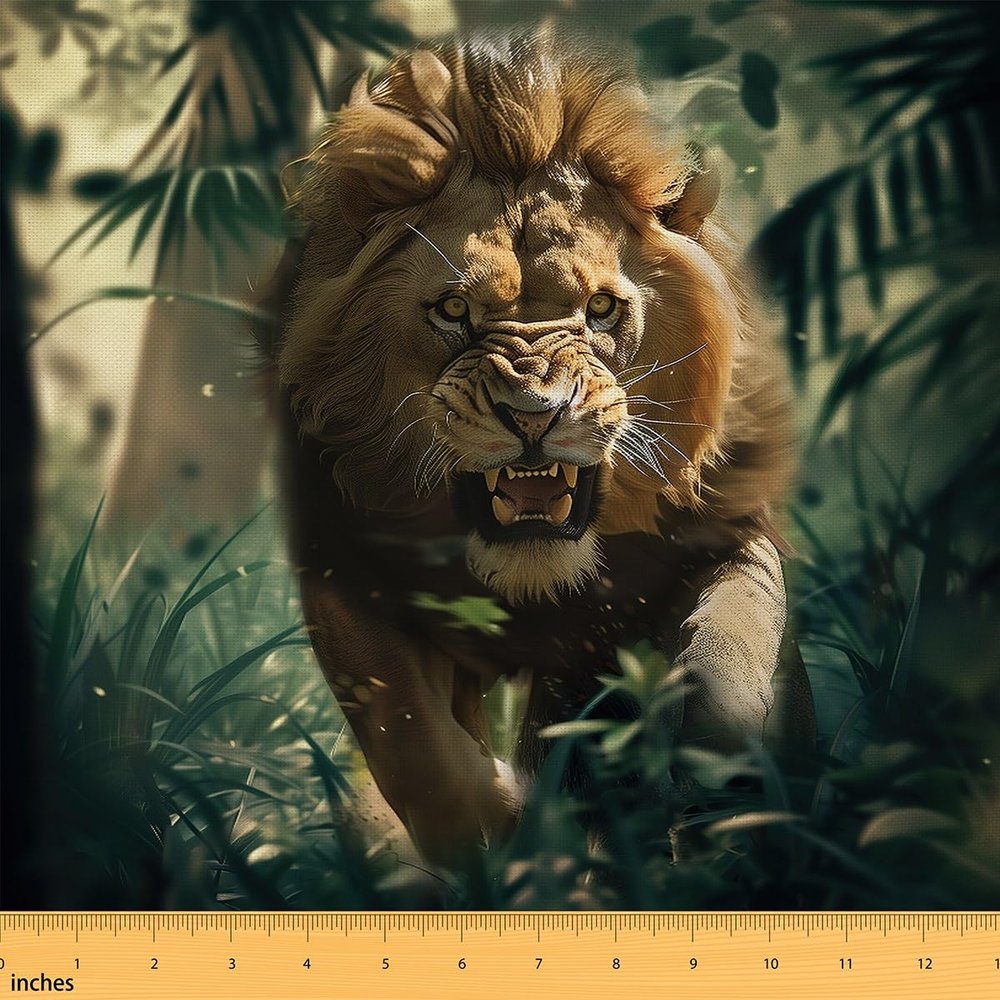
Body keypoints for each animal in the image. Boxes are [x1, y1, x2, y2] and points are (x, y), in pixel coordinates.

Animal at [262, 30, 815, 868]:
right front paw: (496, 838)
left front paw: (719, 763)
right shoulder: (344, 575)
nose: (534, 413)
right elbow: (415, 746)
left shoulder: (720, 531)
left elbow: (736, 632)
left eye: (602, 308)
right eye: (454, 310)